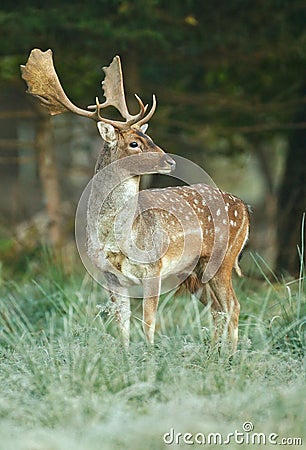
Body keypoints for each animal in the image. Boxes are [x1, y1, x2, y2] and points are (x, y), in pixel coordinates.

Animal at [22, 49, 251, 352]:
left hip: (224, 258)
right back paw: (214, 353)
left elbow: (148, 322)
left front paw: (151, 356)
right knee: (218, 308)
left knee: (233, 306)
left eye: (149, 136)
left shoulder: (154, 268)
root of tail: (245, 207)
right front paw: (127, 356)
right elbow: (123, 324)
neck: (118, 237)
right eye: (134, 143)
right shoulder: (109, 276)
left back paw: (230, 356)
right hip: (196, 271)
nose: (170, 161)